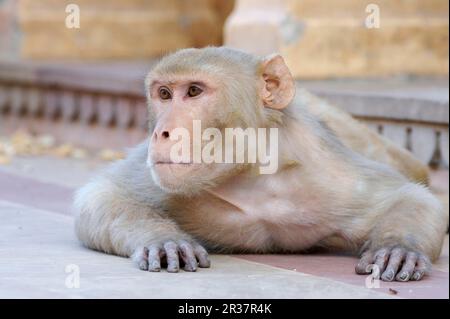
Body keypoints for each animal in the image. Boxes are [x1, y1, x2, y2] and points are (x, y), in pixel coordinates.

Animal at [74, 46, 446, 282]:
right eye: (163, 94)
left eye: (193, 91)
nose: (161, 132)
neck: (253, 175)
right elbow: (100, 194)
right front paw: (164, 240)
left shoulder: (329, 174)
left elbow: (410, 197)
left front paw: (398, 248)